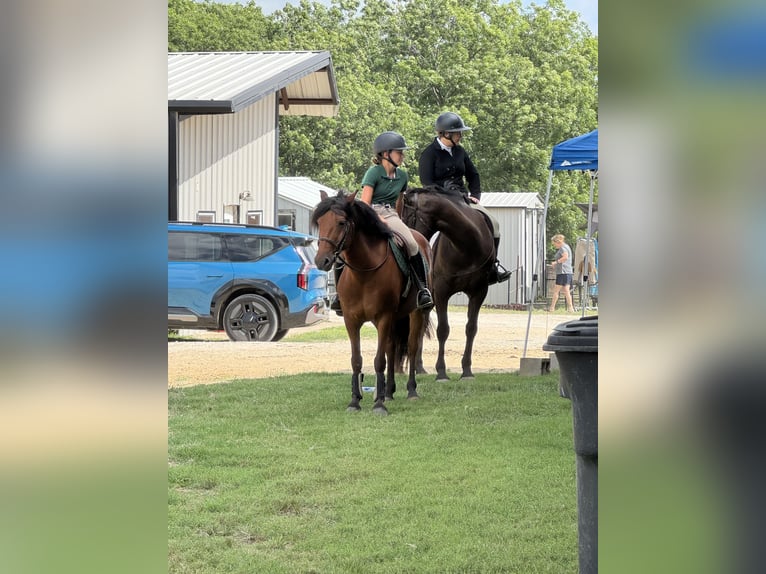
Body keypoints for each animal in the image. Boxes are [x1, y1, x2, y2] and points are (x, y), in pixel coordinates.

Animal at [312, 190, 433, 415]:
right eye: (320, 222)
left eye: (341, 222)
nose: (321, 261)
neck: (363, 272)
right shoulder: (351, 320)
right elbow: (357, 360)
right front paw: (355, 401)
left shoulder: (383, 317)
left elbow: (378, 360)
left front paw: (378, 405)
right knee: (391, 348)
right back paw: (389, 392)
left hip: (416, 313)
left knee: (412, 348)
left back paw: (411, 390)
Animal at [397, 185, 496, 381]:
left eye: (406, 217)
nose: (403, 242)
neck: (465, 245)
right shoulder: (442, 292)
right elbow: (443, 330)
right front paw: (441, 372)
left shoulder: (479, 292)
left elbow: (471, 328)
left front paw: (467, 370)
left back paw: (419, 367)